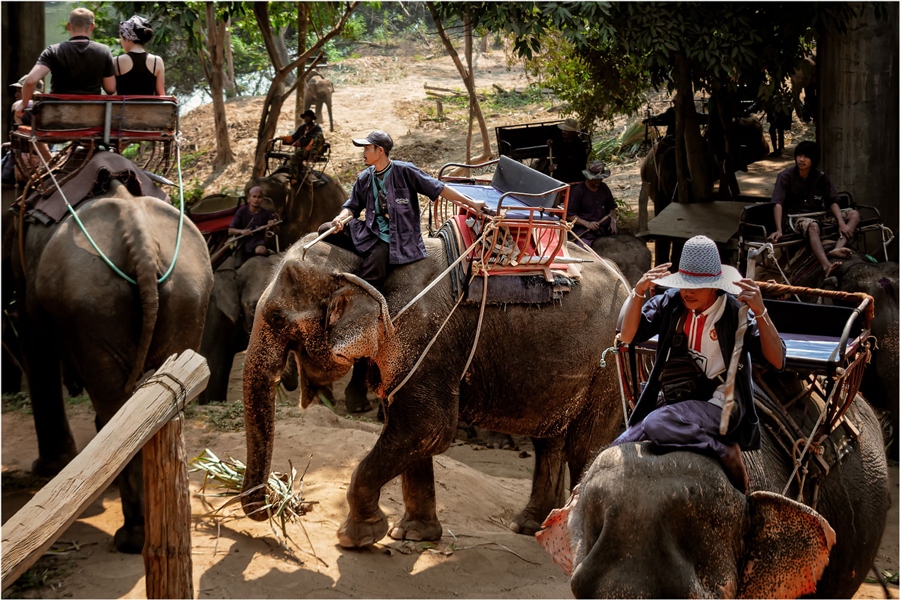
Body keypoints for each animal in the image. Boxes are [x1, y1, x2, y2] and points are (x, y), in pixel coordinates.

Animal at [8, 178, 214, 552]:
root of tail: (139, 237)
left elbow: (36, 345)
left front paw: (47, 468)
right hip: (187, 291)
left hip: (90, 301)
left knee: (116, 404)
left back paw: (131, 539)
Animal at [241, 234, 632, 548]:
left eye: (276, 319)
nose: (282, 492)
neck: (363, 263)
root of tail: (625, 280)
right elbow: (415, 432)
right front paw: (412, 535)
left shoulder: (421, 334)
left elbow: (429, 425)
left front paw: (356, 538)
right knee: (548, 440)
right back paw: (529, 528)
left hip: (609, 362)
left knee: (586, 445)